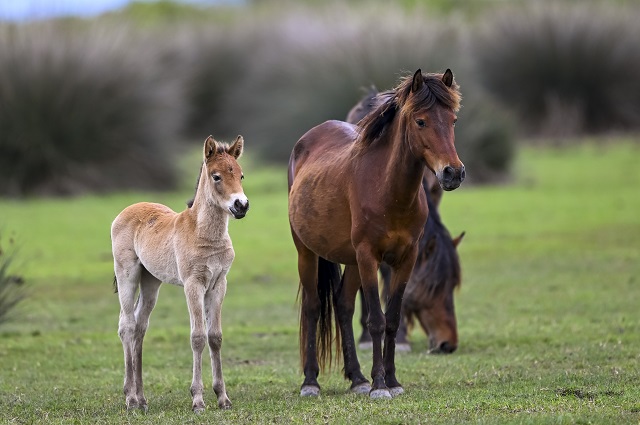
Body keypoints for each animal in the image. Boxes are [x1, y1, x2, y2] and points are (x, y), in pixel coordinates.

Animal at [111, 135, 249, 410]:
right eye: (216, 176)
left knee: (140, 327)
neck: (204, 233)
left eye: (240, 175)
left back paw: (141, 399)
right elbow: (197, 336)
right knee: (127, 326)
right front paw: (198, 400)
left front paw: (223, 398)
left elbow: (215, 336)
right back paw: (130, 398)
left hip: (151, 282)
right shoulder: (193, 284)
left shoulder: (219, 284)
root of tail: (126, 210)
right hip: (126, 274)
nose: (241, 205)